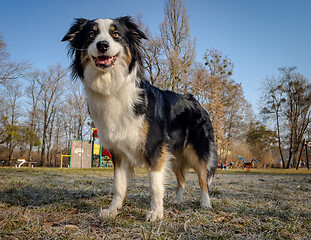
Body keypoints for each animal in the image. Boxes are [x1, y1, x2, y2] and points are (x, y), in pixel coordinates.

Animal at [61, 15, 217, 221]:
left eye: (116, 34)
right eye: (91, 35)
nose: (102, 45)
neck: (112, 86)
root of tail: (197, 102)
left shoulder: (154, 148)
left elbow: (155, 186)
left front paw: (156, 213)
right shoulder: (118, 152)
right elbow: (119, 185)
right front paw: (113, 210)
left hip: (197, 151)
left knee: (203, 179)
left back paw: (205, 203)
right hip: (174, 154)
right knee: (182, 178)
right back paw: (177, 200)